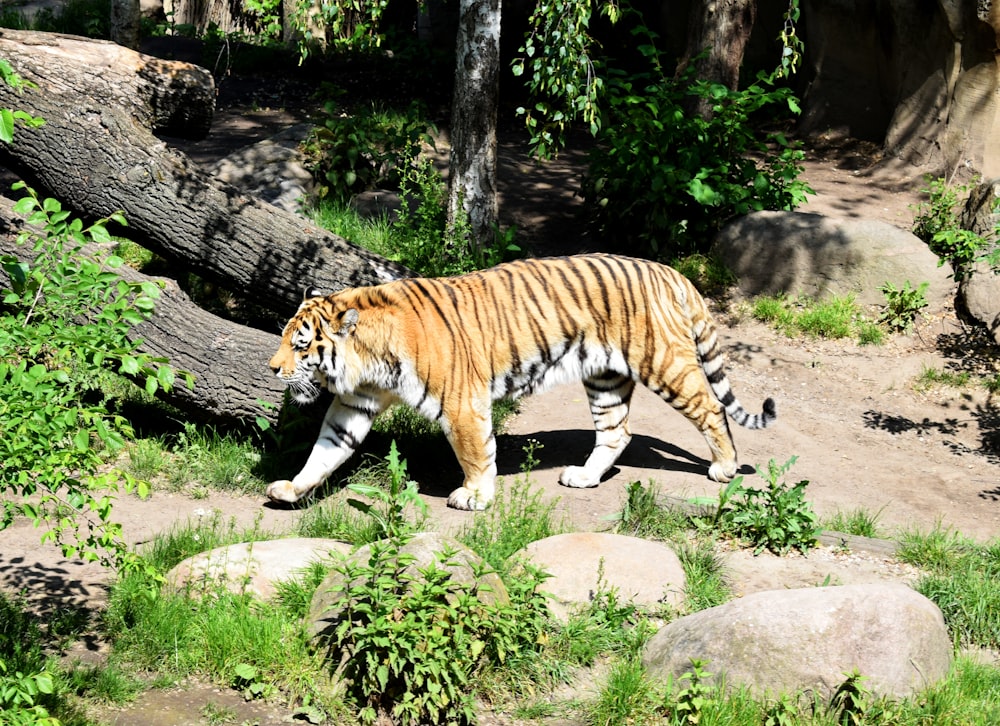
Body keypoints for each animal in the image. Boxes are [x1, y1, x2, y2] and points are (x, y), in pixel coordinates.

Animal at [264, 255, 772, 512]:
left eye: (301, 346)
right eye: (286, 338)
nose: (272, 368)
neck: (367, 361)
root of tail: (671, 272)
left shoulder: (462, 403)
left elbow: (474, 453)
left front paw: (474, 496)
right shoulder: (354, 404)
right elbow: (325, 451)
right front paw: (292, 488)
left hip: (665, 363)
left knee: (712, 408)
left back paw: (725, 467)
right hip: (605, 377)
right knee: (617, 432)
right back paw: (584, 477)